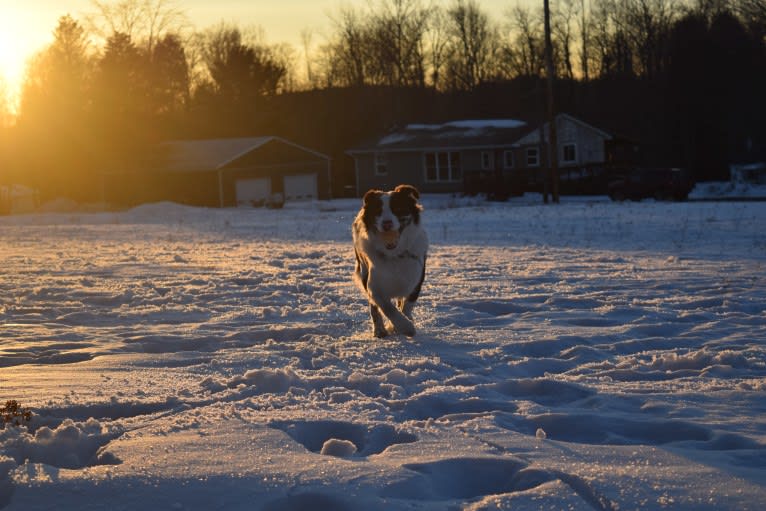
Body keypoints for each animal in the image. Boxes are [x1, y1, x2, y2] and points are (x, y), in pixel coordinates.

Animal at [352, 186, 428, 338]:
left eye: (397, 208)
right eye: (378, 211)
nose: (387, 223)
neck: (394, 255)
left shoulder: (415, 281)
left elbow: (407, 306)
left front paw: (400, 324)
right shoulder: (374, 287)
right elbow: (388, 308)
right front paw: (404, 326)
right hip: (364, 271)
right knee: (374, 308)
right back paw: (379, 330)